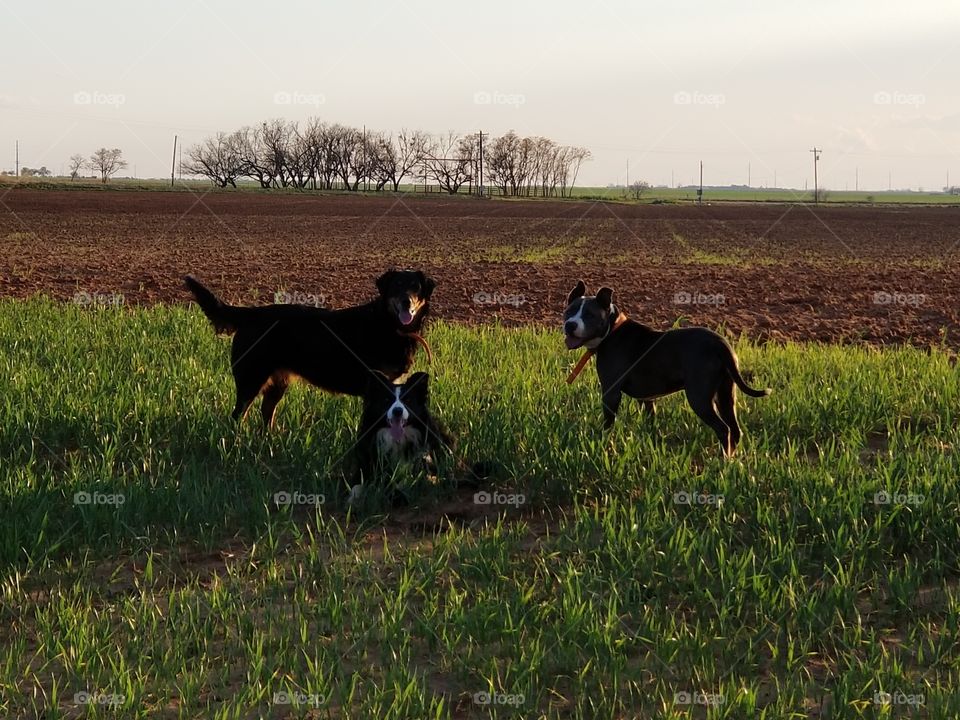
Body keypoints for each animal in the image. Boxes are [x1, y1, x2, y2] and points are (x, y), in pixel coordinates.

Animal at [185, 270, 438, 428]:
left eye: (415, 287)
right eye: (396, 285)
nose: (406, 301)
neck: (390, 326)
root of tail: (250, 314)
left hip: (277, 382)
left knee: (266, 412)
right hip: (250, 379)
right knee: (238, 416)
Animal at [350, 372, 456, 500]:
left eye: (408, 400)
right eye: (387, 400)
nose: (397, 411)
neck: (397, 441)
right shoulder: (366, 464)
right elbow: (357, 485)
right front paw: (353, 499)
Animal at [564, 282, 772, 456]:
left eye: (589, 315)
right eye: (568, 311)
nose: (570, 324)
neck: (612, 329)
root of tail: (720, 343)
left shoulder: (611, 392)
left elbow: (608, 425)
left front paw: (603, 444)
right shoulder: (647, 399)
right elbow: (650, 423)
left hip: (699, 397)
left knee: (723, 429)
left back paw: (722, 461)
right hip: (726, 394)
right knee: (735, 429)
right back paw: (732, 461)